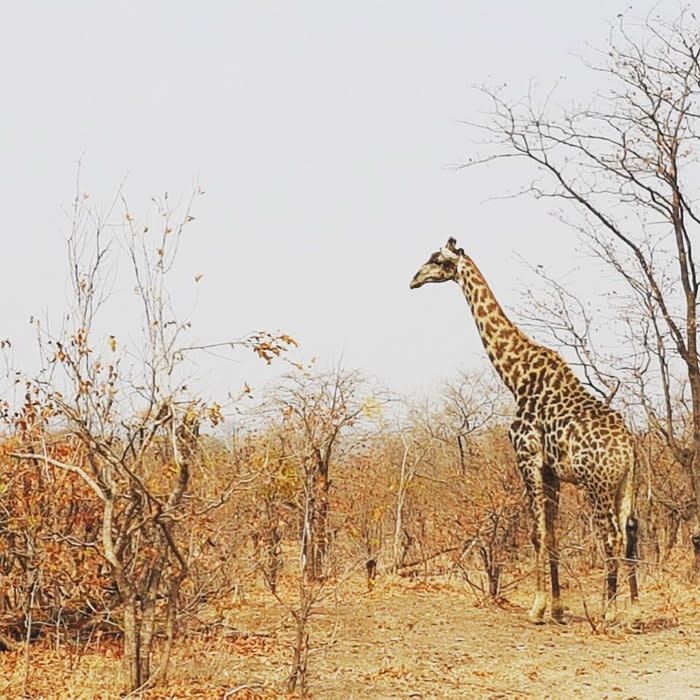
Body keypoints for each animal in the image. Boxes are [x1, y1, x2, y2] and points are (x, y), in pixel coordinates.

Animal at [410, 239, 640, 624]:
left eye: (438, 260)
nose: (414, 279)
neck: (516, 377)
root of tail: (627, 449)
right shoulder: (551, 472)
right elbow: (552, 534)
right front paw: (558, 609)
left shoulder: (527, 458)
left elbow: (536, 534)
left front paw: (536, 608)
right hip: (625, 484)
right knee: (631, 530)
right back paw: (635, 611)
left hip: (597, 484)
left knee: (611, 536)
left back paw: (609, 612)